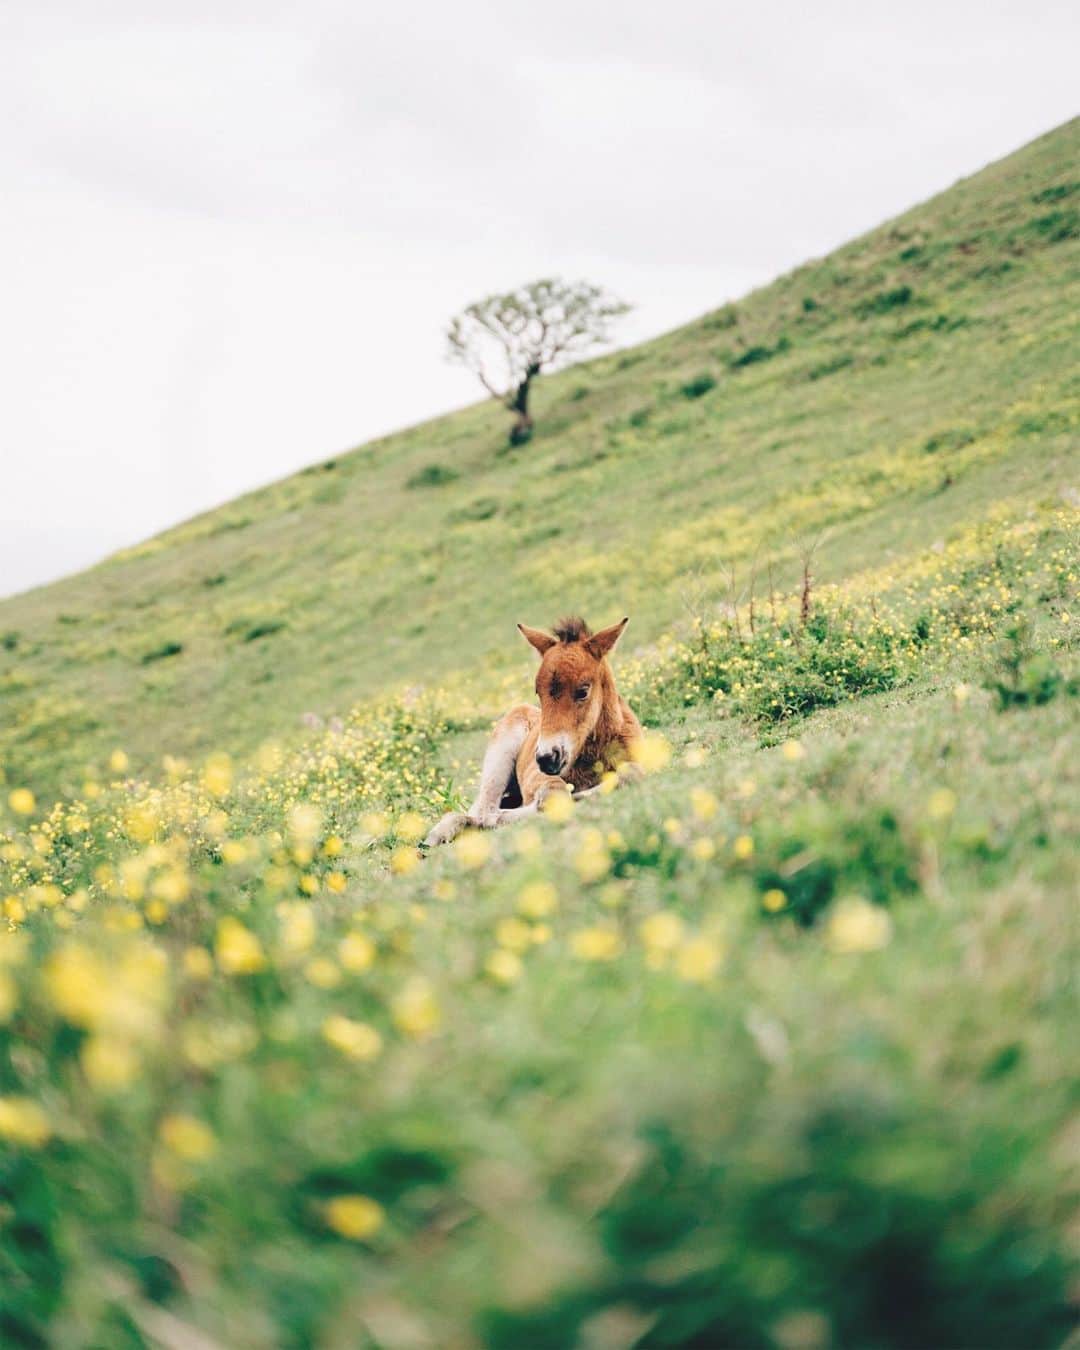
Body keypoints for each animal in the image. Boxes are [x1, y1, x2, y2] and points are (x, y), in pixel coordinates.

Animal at [424, 616, 643, 847]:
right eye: (538, 691)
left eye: (583, 691)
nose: (547, 758)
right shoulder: (537, 778)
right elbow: (554, 795)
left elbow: (632, 773)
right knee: (481, 810)